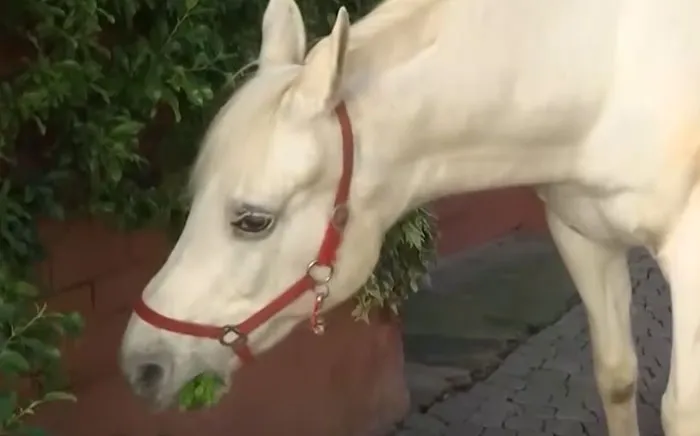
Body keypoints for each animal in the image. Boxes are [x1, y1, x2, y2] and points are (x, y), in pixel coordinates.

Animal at [118, 0, 700, 434]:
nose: (142, 364)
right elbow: (616, 376)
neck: (610, 74)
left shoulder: (689, 263)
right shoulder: (582, 237)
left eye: (253, 220)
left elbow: (681, 411)